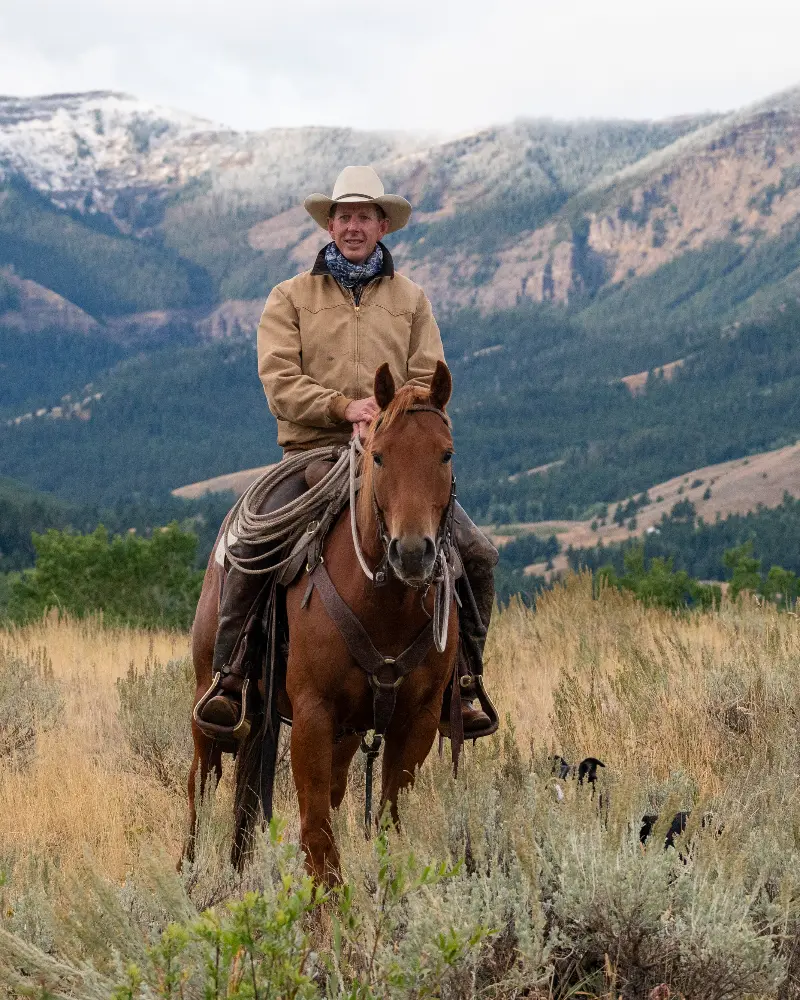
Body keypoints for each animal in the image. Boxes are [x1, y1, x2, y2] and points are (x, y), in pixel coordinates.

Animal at [188, 360, 460, 884]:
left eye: (446, 454)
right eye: (379, 456)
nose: (412, 553)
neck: (385, 604)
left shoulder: (415, 721)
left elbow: (388, 823)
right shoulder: (313, 714)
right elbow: (316, 833)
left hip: (345, 731)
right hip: (208, 698)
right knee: (199, 785)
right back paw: (186, 877)